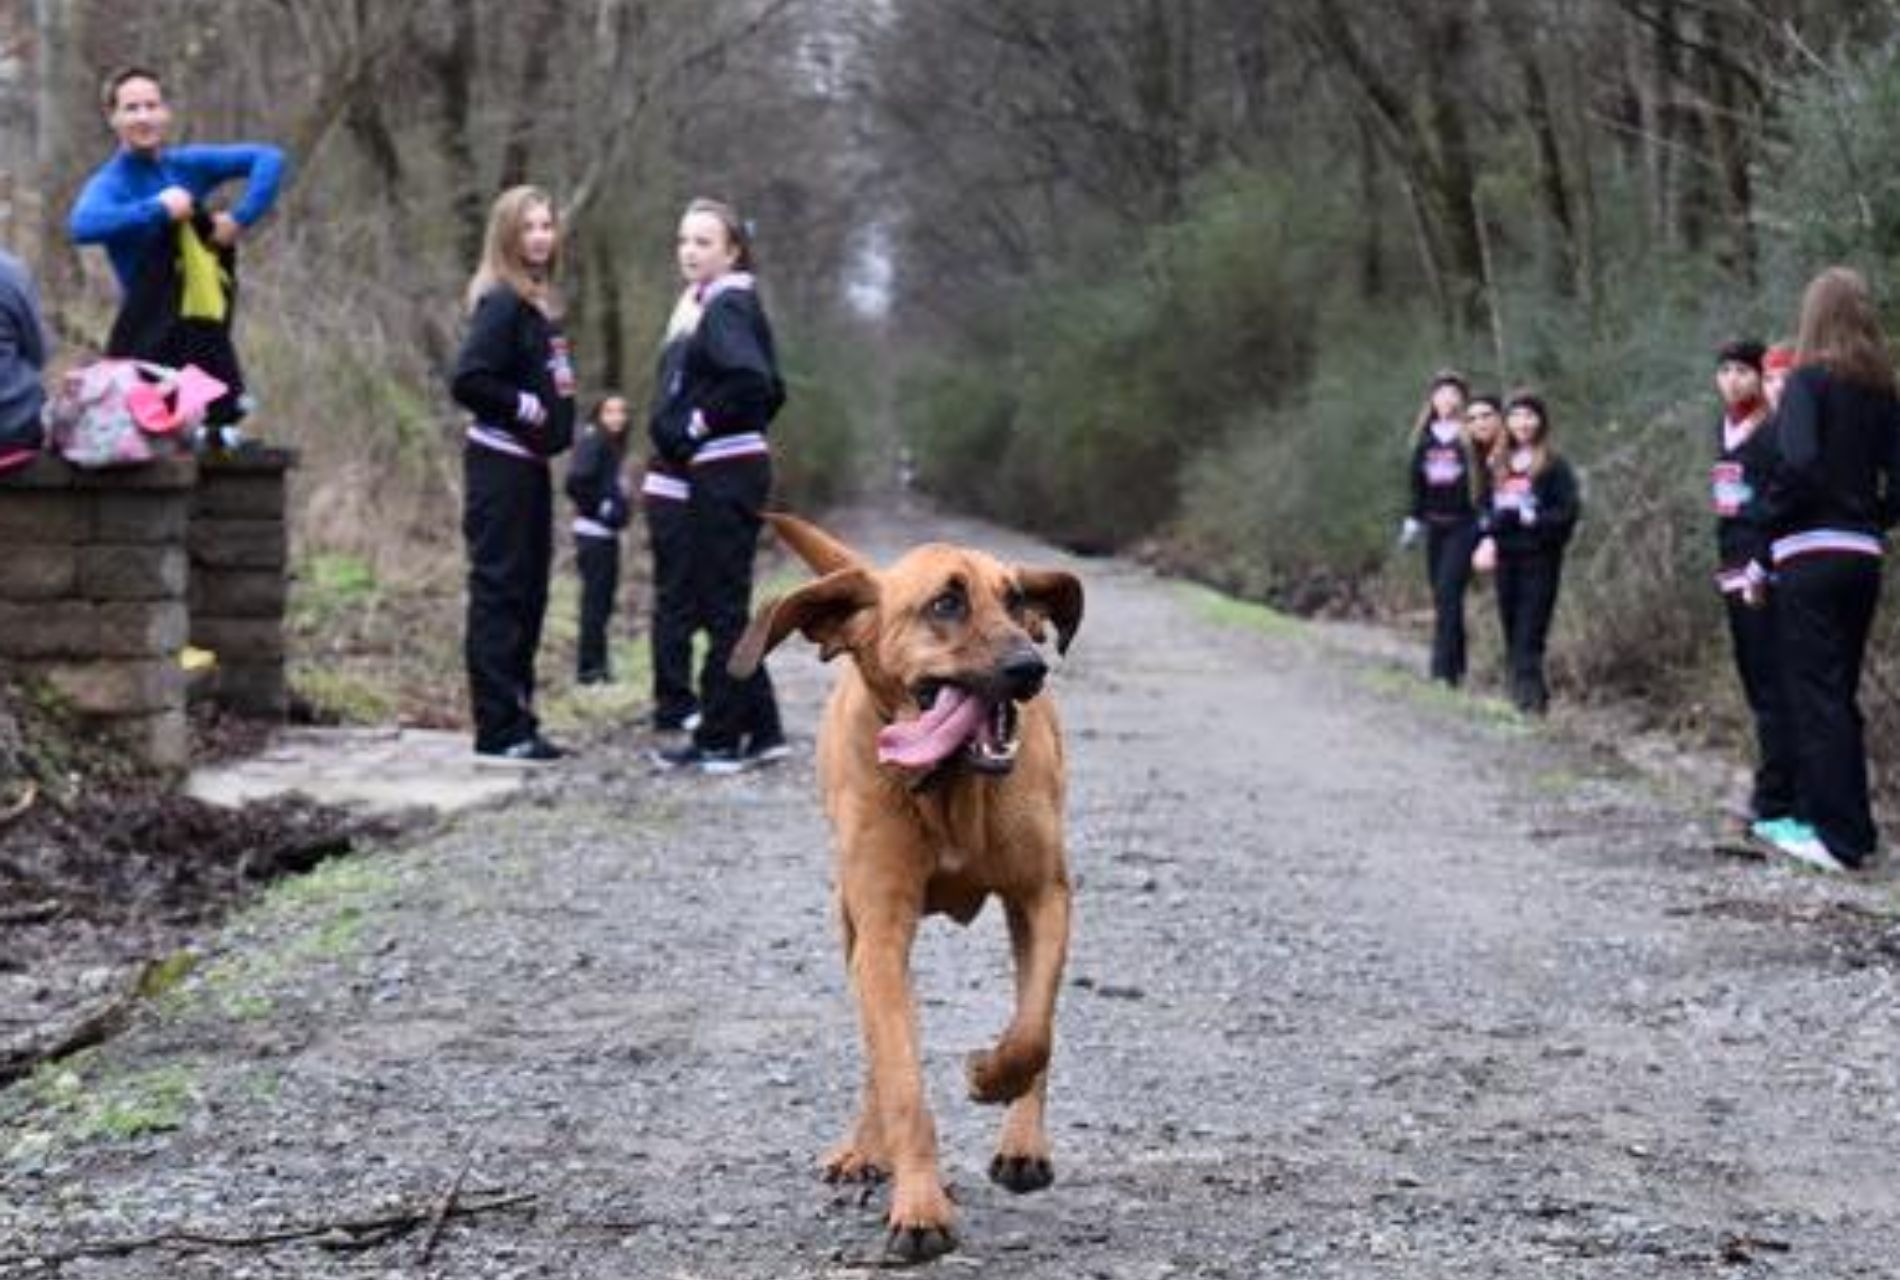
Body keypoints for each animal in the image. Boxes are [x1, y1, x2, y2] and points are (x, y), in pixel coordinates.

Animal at [725, 512, 1086, 1253]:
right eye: (945, 603)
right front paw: (919, 1205)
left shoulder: (1044, 898)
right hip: (853, 928)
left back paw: (1023, 1145)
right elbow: (900, 1080)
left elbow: (1033, 1031)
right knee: (876, 1049)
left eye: (1016, 600)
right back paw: (867, 1149)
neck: (948, 788)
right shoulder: (882, 934)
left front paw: (989, 1077)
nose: (1030, 668)